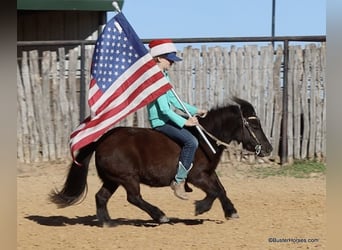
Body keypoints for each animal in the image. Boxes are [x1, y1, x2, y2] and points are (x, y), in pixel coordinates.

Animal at [49, 96, 272, 226]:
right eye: (255, 126)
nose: (268, 148)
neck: (204, 139)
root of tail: (102, 139)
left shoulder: (209, 173)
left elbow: (221, 190)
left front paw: (231, 212)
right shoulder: (198, 176)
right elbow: (214, 192)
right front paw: (200, 207)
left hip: (113, 179)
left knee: (101, 197)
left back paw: (108, 222)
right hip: (127, 178)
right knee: (134, 197)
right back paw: (160, 216)